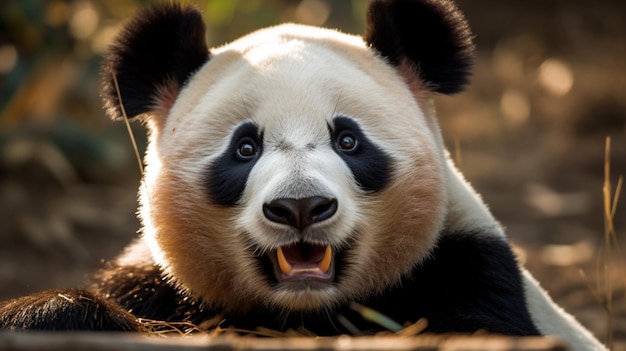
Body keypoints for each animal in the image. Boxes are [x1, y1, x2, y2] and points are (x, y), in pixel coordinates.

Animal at [0, 1, 604, 350]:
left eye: (348, 141)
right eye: (244, 148)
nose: (300, 208)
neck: (304, 312)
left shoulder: (467, 267)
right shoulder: (155, 282)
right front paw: (51, 316)